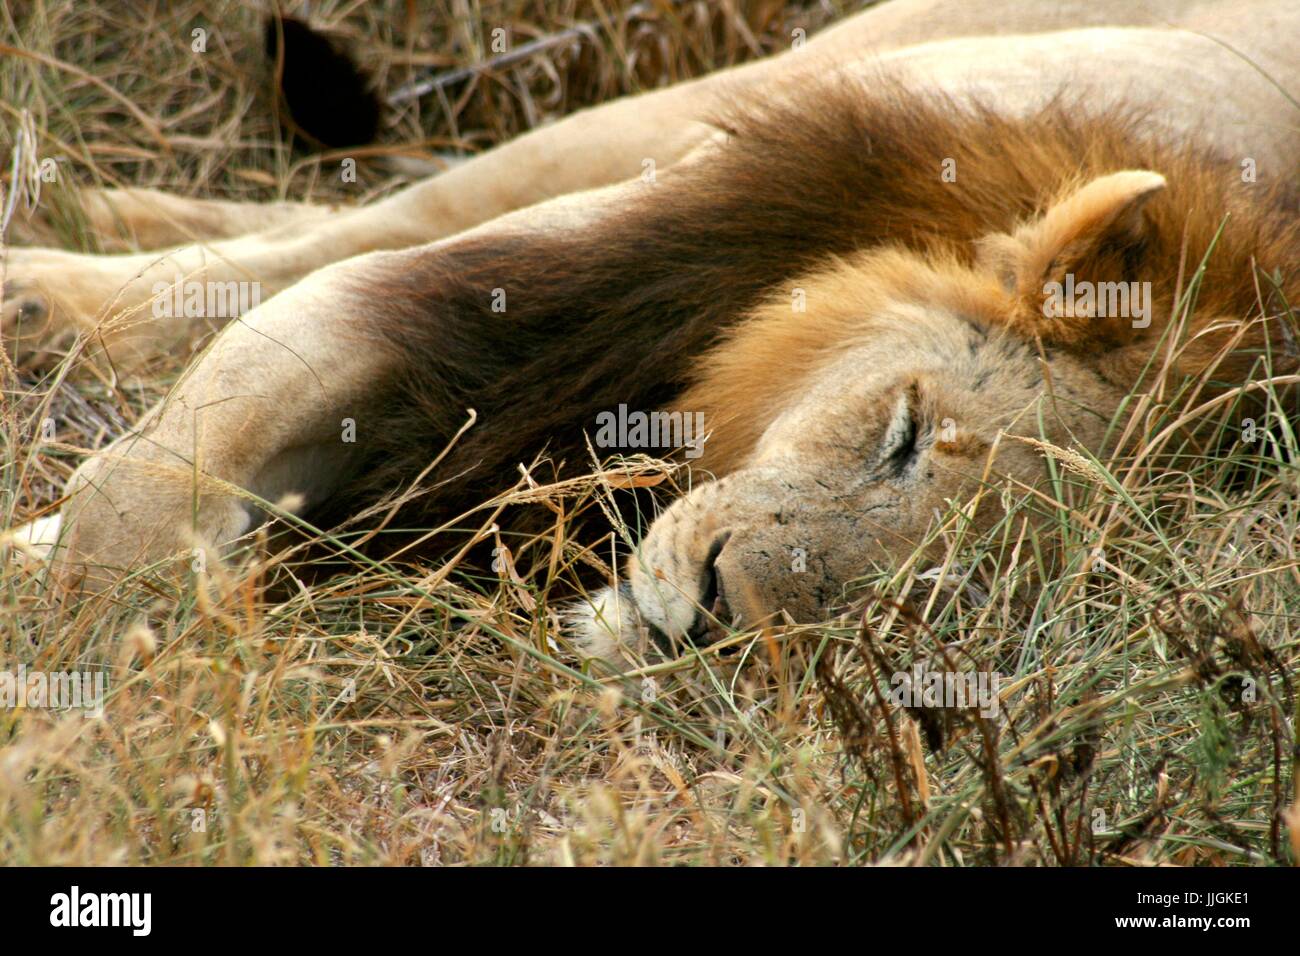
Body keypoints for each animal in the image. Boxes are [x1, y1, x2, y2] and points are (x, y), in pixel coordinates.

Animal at [2, 0, 1300, 671]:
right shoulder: (559, 284)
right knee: (366, 216)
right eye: (902, 432)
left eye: (950, 587)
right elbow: (171, 458)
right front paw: (123, 637)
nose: (716, 611)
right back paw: (51, 275)